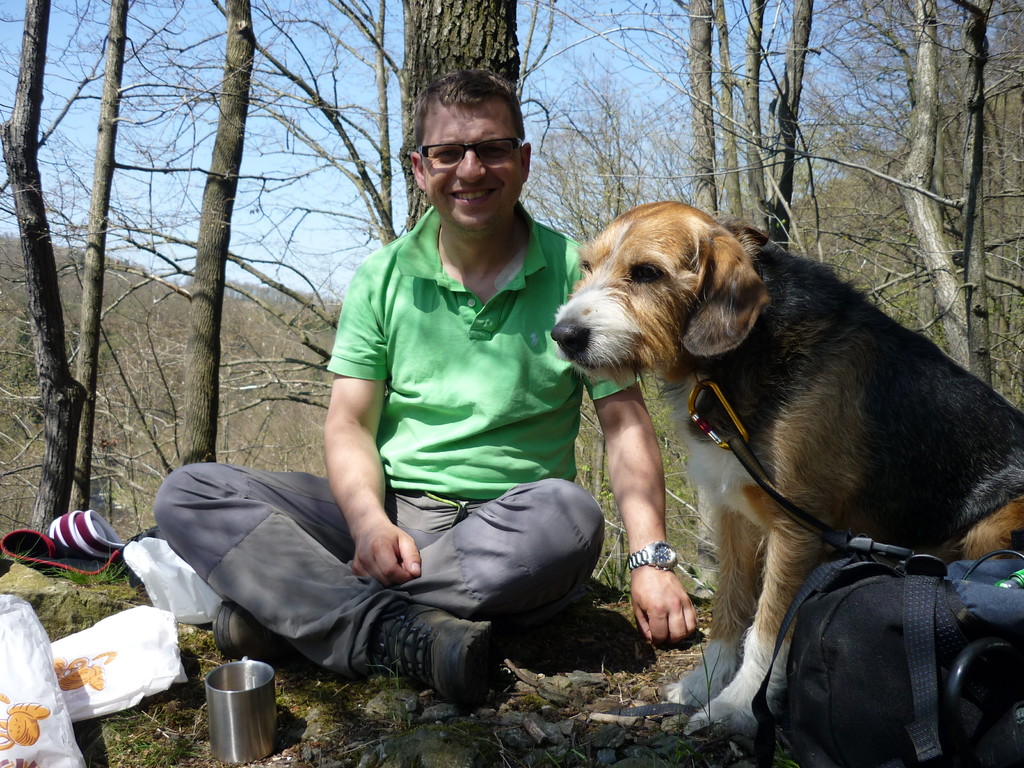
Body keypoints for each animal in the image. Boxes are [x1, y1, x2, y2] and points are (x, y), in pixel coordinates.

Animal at [557, 201, 1024, 737]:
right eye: (587, 266)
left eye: (646, 273)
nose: (562, 335)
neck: (729, 365)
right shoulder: (732, 514)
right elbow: (731, 608)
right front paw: (702, 684)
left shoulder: (797, 530)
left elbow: (767, 626)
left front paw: (738, 705)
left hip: (994, 527)